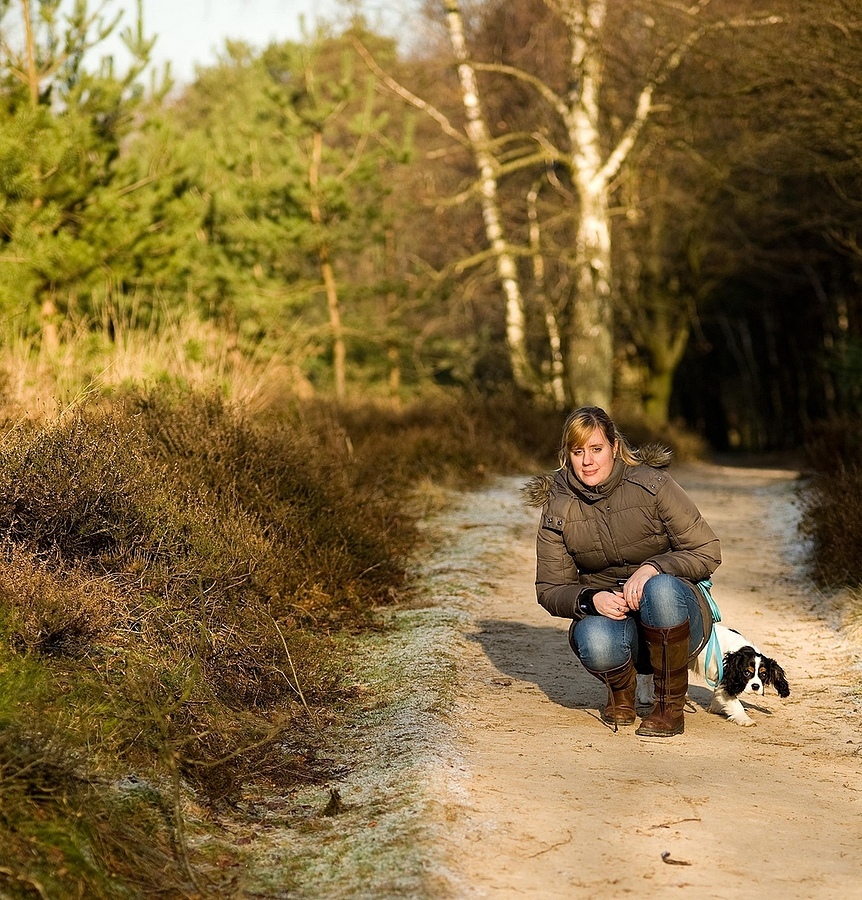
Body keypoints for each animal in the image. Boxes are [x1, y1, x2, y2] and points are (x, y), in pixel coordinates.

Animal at [636, 624, 790, 726]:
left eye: (763, 675)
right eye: (747, 673)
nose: (755, 686)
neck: (738, 651)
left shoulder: (721, 681)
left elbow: (719, 695)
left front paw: (716, 708)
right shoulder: (726, 680)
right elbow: (735, 703)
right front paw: (745, 719)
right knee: (644, 676)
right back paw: (645, 698)